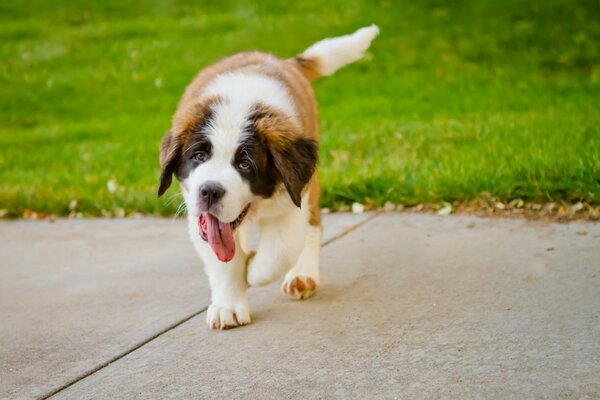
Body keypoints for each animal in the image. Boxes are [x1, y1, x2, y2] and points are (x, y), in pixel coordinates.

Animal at [157, 24, 378, 328]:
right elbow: (221, 260)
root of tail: (286, 62)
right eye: (199, 156)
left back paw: (302, 274)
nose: (210, 191)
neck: (239, 104)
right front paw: (229, 304)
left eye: (245, 165)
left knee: (312, 225)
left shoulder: (293, 197)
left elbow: (278, 253)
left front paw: (251, 268)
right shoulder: (196, 211)